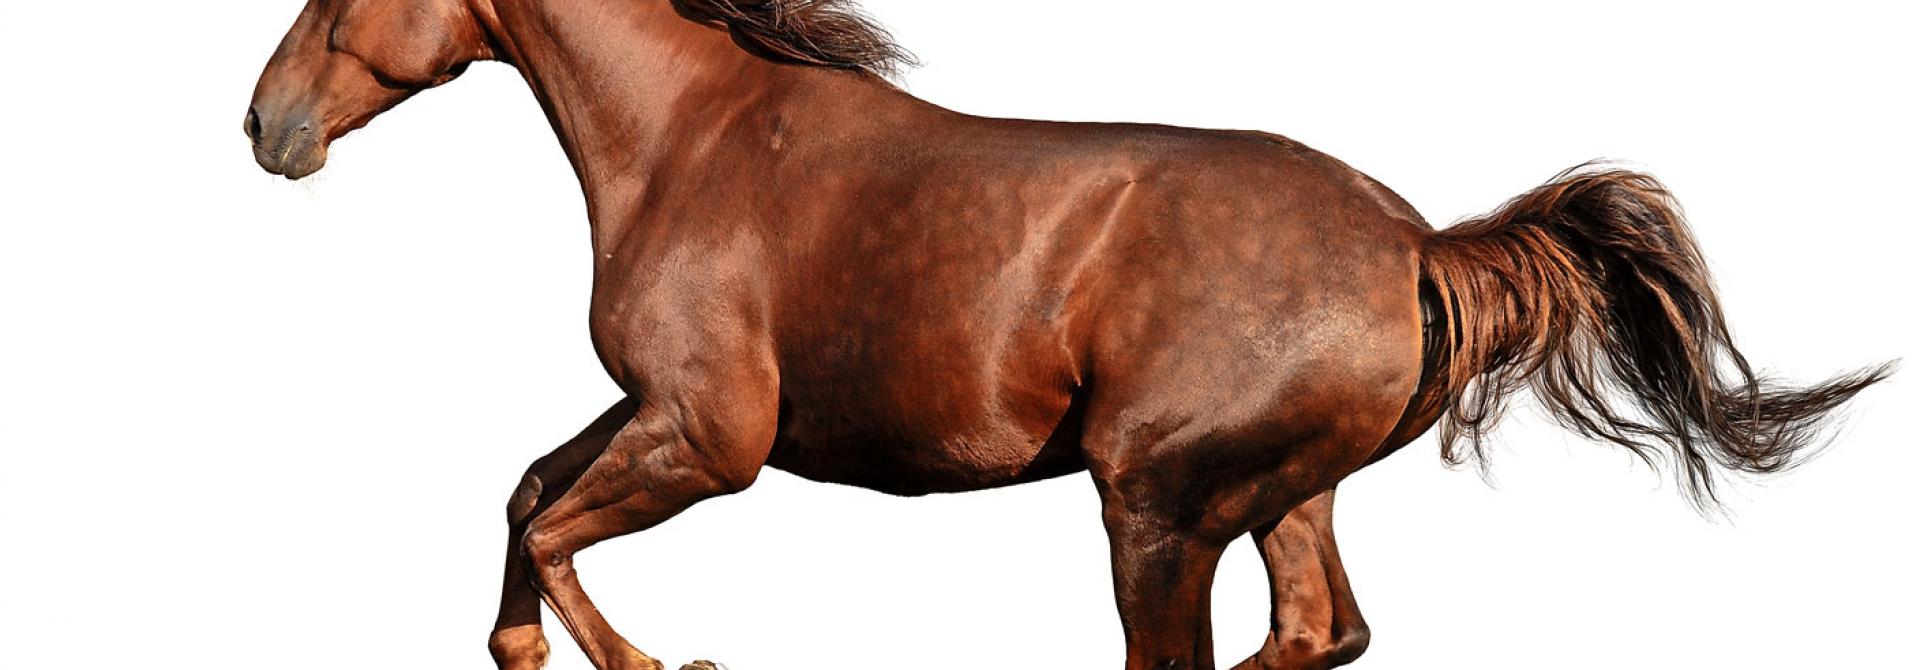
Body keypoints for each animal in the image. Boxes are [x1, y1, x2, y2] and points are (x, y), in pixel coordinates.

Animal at [245, 1, 1889, 669]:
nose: (265, 129)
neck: (693, 137)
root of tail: (1414, 242)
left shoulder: (711, 439)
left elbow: (557, 521)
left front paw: (661, 661)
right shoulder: (657, 413)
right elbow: (527, 492)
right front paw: (521, 642)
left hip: (1157, 508)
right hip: (1279, 496)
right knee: (1323, 629)